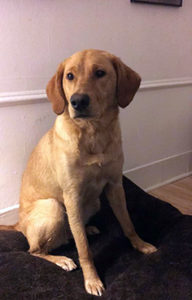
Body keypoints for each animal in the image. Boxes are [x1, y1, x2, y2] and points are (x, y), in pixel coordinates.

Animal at [1, 49, 158, 296]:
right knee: (35, 250)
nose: (78, 101)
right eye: (70, 76)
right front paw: (92, 279)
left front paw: (140, 244)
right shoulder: (71, 196)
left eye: (100, 73)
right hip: (53, 207)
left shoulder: (115, 185)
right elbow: (84, 249)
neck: (93, 133)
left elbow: (127, 222)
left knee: (70, 233)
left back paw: (86, 229)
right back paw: (62, 259)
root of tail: (18, 225)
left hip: (94, 202)